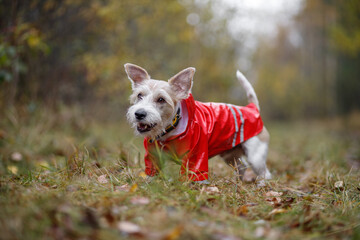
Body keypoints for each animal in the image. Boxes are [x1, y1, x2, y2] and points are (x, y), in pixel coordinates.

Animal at [124, 63, 270, 184]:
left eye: (161, 99)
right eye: (139, 95)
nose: (139, 113)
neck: (170, 130)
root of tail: (252, 108)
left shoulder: (196, 155)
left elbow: (193, 173)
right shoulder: (153, 156)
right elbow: (152, 172)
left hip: (255, 156)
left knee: (264, 173)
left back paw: (261, 185)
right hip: (230, 154)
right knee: (242, 167)